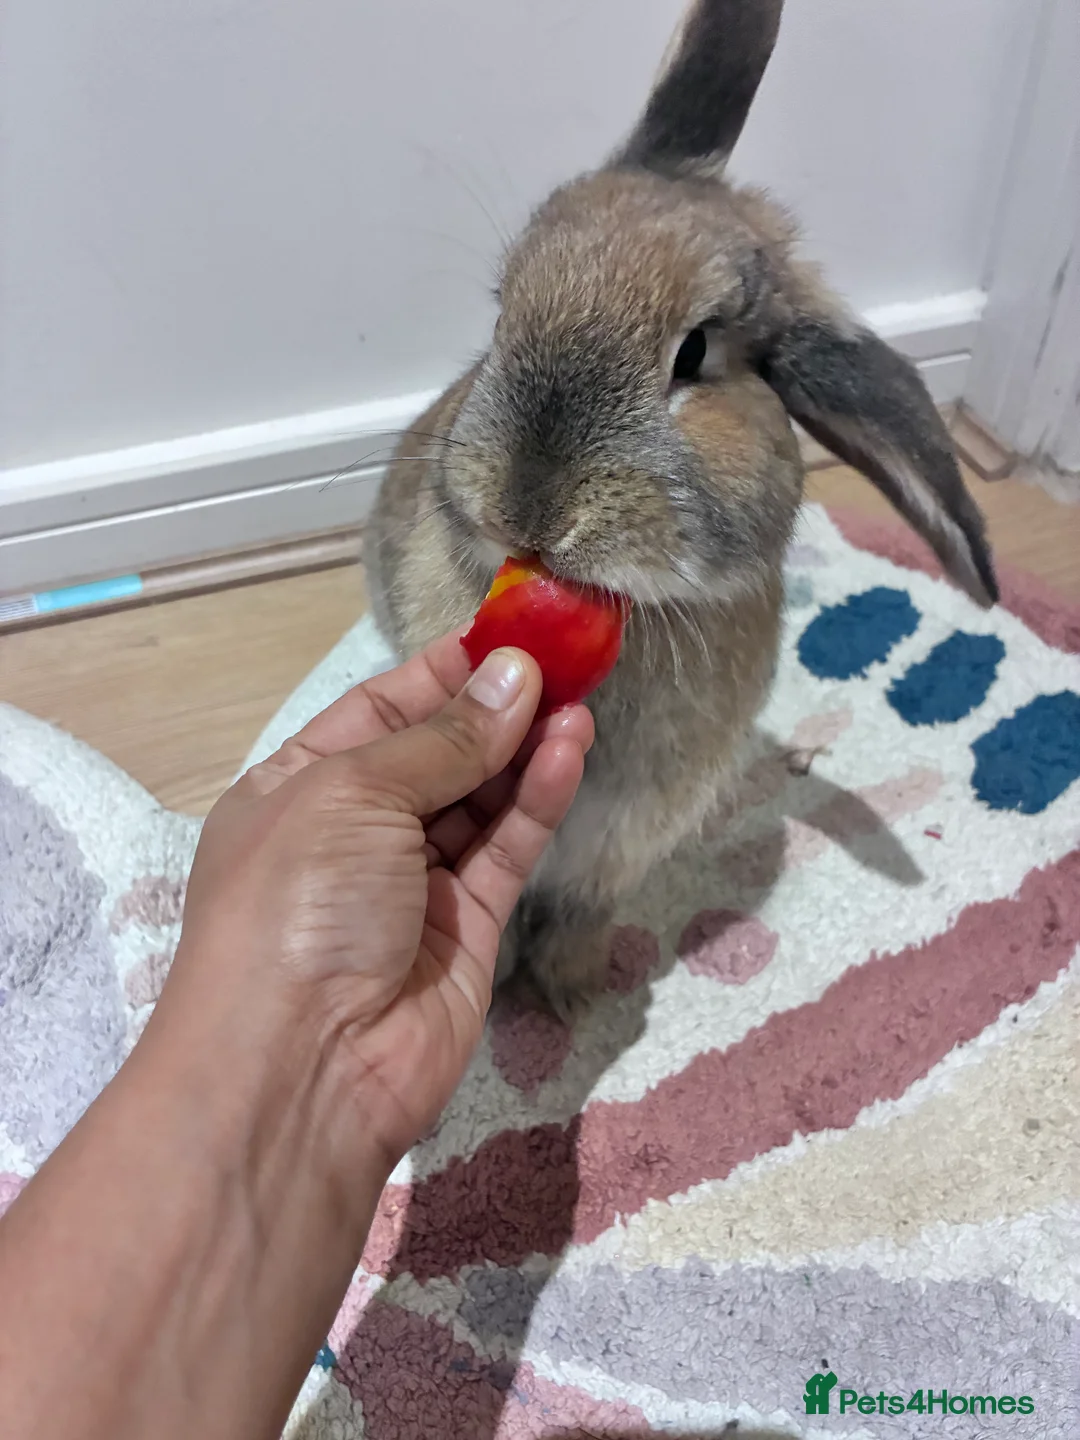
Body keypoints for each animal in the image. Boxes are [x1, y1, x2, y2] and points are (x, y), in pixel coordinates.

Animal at [364, 0, 997, 1018]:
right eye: (503, 310)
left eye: (695, 353)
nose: (525, 506)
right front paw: (504, 996)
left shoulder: (615, 849)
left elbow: (576, 915)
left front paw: (579, 997)